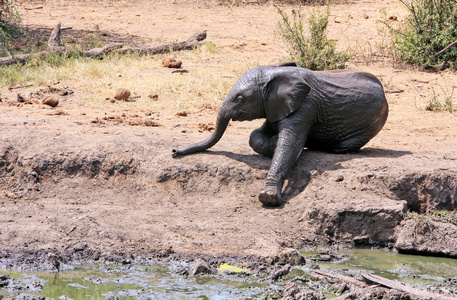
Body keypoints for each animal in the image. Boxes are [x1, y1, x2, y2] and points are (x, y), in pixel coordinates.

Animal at [173, 62, 386, 209]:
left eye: (240, 99)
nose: (175, 151)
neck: (274, 74)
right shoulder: (274, 106)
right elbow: (256, 136)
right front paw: (282, 144)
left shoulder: (304, 106)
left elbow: (290, 142)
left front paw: (268, 196)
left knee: (343, 146)